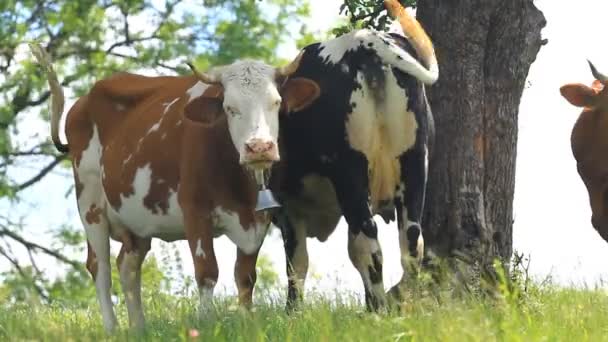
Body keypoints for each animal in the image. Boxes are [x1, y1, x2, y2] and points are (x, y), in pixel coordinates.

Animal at [29, 44, 318, 332]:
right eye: (229, 108)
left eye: (276, 103)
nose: (259, 147)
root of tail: (84, 100)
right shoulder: (195, 211)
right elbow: (207, 272)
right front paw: (205, 324)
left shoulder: (258, 219)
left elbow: (246, 277)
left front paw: (247, 323)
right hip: (89, 202)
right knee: (99, 267)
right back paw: (112, 329)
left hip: (135, 217)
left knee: (127, 267)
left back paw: (139, 329)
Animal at [270, 0, 436, 310]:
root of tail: (363, 40)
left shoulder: (288, 206)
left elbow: (296, 263)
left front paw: (292, 312)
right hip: (414, 161)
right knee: (410, 242)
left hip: (349, 171)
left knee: (367, 241)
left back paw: (379, 309)